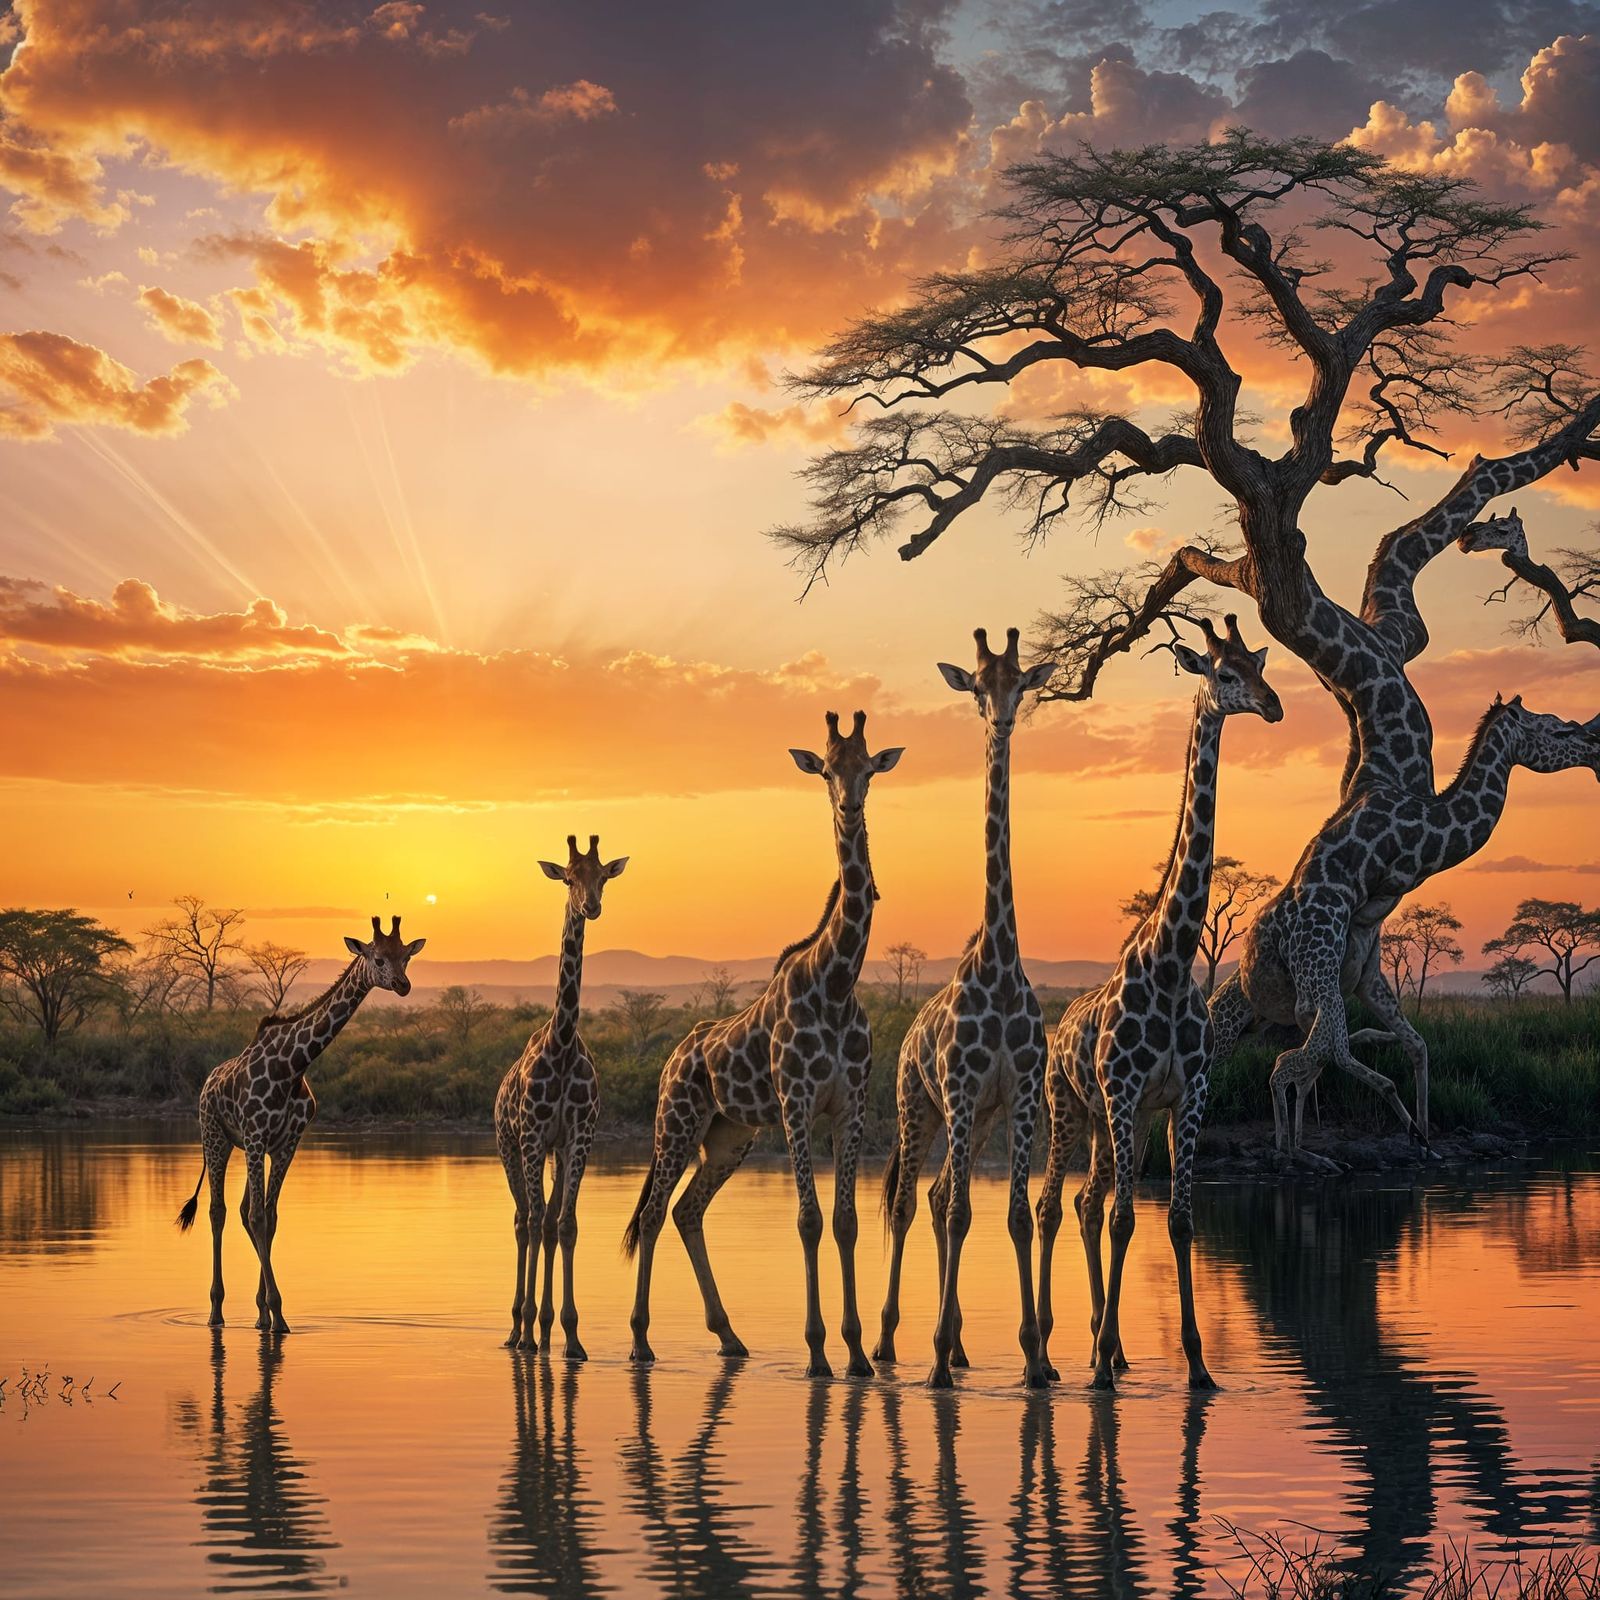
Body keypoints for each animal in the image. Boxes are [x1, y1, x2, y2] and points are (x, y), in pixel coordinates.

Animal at [176, 917, 425, 1332]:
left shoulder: (286, 1143)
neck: (292, 1065)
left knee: (242, 1209)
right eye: (377, 958)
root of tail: (208, 1082)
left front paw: (269, 1313)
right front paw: (277, 1314)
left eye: (406, 956)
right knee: (218, 1211)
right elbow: (258, 1216)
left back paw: (256, 1313)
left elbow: (270, 1217)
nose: (403, 985)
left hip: (243, 1146)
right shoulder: (257, 1137)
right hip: (215, 1137)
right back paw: (215, 1311)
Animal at [494, 833, 626, 1356]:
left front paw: (570, 1336)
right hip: (509, 1146)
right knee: (522, 1219)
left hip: (552, 1151)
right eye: (569, 878)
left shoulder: (578, 1138)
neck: (564, 1042)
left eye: (603, 876)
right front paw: (529, 1329)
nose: (590, 906)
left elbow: (565, 1225)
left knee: (547, 1221)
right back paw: (517, 1329)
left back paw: (545, 1331)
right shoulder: (531, 1136)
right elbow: (534, 1223)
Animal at [622, 710, 903, 1377]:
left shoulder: (850, 1106)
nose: (849, 805)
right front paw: (818, 1352)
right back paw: (641, 1340)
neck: (836, 982)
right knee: (652, 1214)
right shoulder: (798, 1103)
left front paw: (858, 1354)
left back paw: (729, 1336)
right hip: (677, 1122)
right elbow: (808, 1219)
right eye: (826, 769)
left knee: (686, 1210)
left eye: (868, 767)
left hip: (730, 1136)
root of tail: (674, 1057)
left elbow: (846, 1222)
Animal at [1036, 615, 1283, 1391]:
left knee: (1087, 1202)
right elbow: (1124, 1221)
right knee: (1057, 1206)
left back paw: (1106, 1346)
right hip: (1069, 1106)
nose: (1274, 706)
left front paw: (1199, 1366)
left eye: (1260, 665)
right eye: (1223, 674)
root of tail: (1057, 1028)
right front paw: (1100, 1372)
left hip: (1122, 1122)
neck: (1173, 967)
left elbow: (1177, 1221)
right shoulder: (1121, 1093)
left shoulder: (1186, 1094)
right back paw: (1053, 1355)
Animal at [1212, 694, 1600, 1155]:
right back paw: (1295, 1147)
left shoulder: (1367, 972)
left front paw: (1428, 1136)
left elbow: (1417, 1046)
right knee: (1295, 1061)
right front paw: (1416, 1128)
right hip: (1314, 977)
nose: (1594, 748)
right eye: (1559, 729)